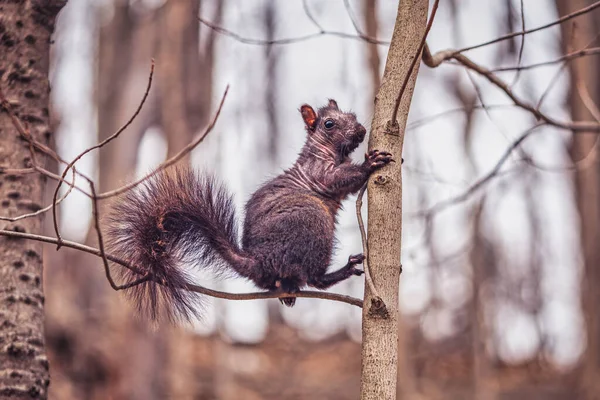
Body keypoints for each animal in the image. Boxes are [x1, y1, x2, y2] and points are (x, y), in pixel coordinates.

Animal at [106, 100, 394, 322]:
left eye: (352, 116)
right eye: (329, 124)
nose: (361, 130)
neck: (325, 151)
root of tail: (257, 261)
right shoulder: (320, 174)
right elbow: (342, 178)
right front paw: (370, 163)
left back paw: (288, 292)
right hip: (312, 219)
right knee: (314, 279)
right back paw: (341, 270)